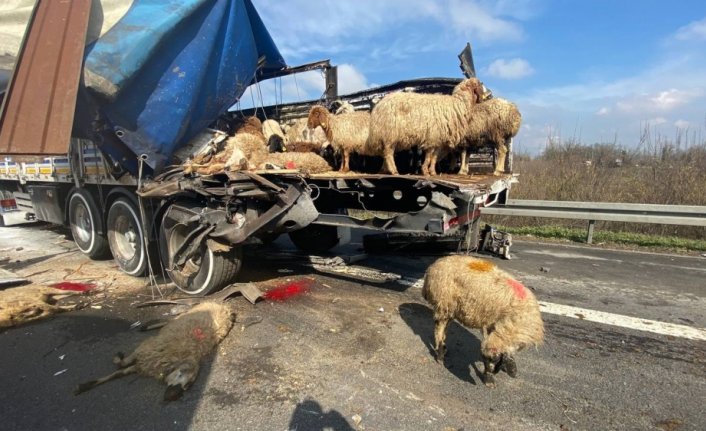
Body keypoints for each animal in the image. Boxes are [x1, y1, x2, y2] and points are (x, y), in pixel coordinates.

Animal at [74, 302, 235, 404]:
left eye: (187, 386)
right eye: (180, 374)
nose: (172, 396)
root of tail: (224, 307)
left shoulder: (140, 366)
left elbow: (119, 373)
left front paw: (85, 385)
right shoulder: (142, 352)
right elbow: (120, 366)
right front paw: (117, 358)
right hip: (189, 314)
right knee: (173, 319)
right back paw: (147, 326)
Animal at [420, 256, 540, 388]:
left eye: (493, 359)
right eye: (486, 359)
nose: (489, 378)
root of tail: (433, 266)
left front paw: (510, 366)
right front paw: (490, 380)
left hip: (450, 308)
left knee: (444, 327)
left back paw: (443, 349)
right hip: (444, 304)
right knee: (439, 329)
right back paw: (440, 355)